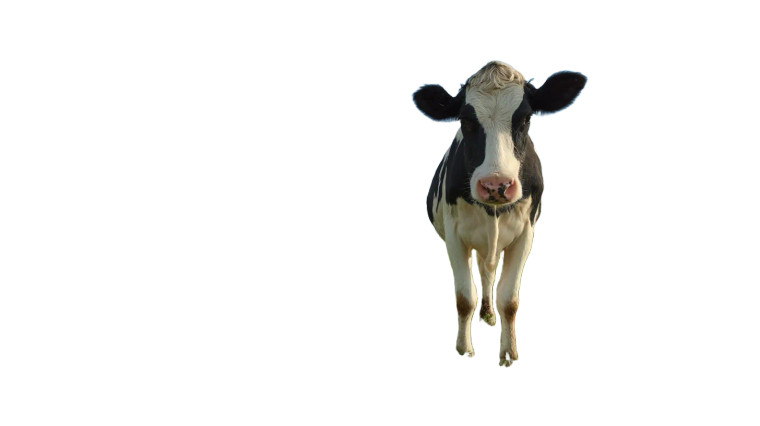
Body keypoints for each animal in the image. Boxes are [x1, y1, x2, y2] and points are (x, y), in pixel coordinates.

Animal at [413, 61, 586, 367]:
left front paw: (508, 352)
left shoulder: (525, 235)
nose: (496, 185)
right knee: (484, 272)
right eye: (465, 120)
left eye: (525, 118)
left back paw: (489, 313)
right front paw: (464, 348)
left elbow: (509, 300)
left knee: (488, 272)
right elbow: (464, 298)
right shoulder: (454, 236)